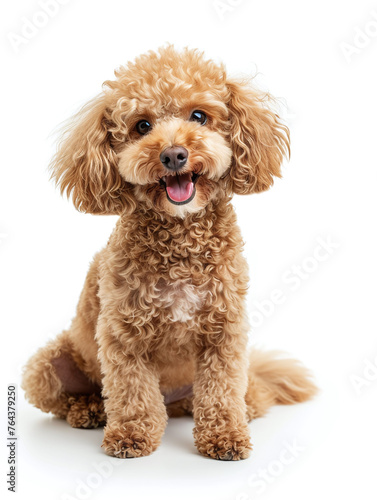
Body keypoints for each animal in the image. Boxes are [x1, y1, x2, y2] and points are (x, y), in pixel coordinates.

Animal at [21, 47, 314, 460]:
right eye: (142, 125)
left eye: (199, 116)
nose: (174, 154)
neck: (180, 240)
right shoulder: (123, 334)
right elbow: (132, 392)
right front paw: (130, 435)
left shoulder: (224, 331)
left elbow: (222, 390)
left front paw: (225, 435)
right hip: (47, 365)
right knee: (71, 398)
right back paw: (90, 409)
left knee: (242, 393)